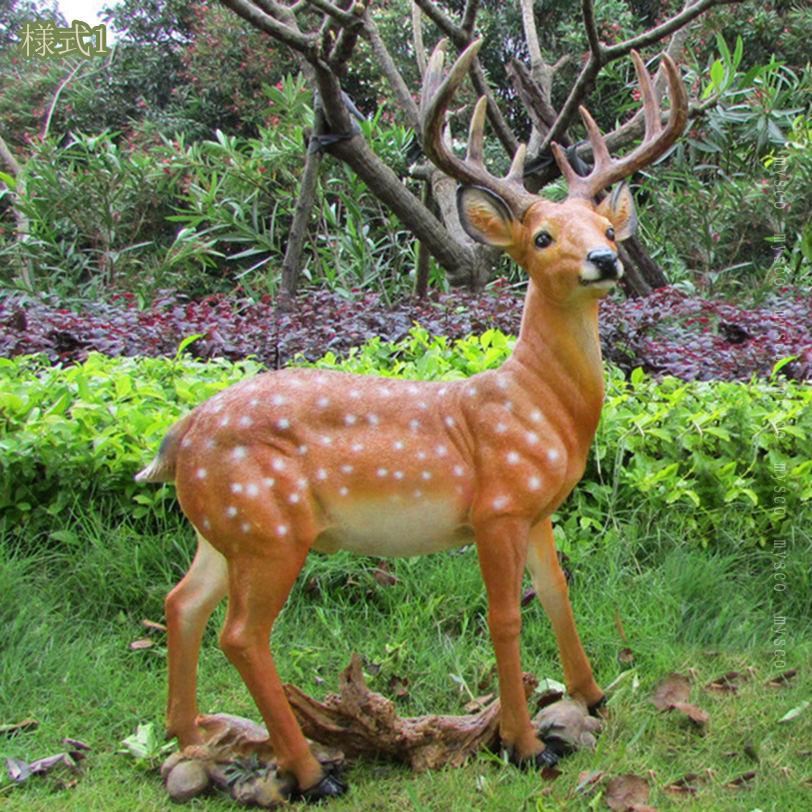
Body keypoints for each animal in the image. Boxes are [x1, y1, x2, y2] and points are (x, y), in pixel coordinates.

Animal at [136, 40, 687, 802]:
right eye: (544, 237)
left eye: (607, 229)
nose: (606, 259)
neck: (540, 407)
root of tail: (180, 435)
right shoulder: (495, 507)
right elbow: (505, 617)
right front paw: (524, 744)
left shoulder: (538, 509)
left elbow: (558, 594)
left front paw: (594, 695)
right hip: (270, 527)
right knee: (241, 634)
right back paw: (311, 772)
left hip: (226, 527)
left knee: (181, 601)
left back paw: (194, 735)